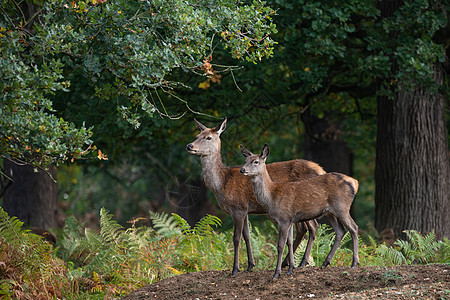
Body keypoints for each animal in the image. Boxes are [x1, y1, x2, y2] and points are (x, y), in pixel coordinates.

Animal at [185, 119, 326, 276]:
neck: (222, 184)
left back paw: (301, 263)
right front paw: (250, 265)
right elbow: (247, 236)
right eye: (197, 135)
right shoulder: (245, 210)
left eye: (208, 137)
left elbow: (236, 238)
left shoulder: (238, 208)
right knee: (304, 229)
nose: (189, 145)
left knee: (313, 227)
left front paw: (235, 269)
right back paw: (289, 263)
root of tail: (321, 170)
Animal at [241, 144, 360, 280]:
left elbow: (280, 245)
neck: (271, 197)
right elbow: (289, 242)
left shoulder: (283, 219)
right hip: (331, 212)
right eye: (245, 160)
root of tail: (355, 182)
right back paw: (325, 263)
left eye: (256, 161)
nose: (242, 169)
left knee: (353, 228)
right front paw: (290, 269)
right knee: (340, 231)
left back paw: (354, 263)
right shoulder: (289, 219)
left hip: (342, 207)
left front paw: (277, 273)